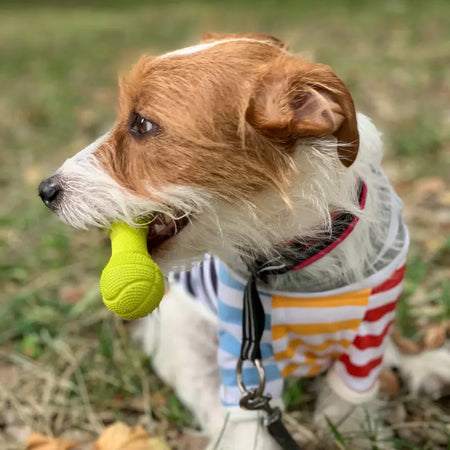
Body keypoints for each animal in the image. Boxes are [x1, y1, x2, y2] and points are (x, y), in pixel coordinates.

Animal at [39, 35, 450, 450]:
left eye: (142, 124)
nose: (46, 190)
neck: (296, 252)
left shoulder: (371, 323)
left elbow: (352, 396)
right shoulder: (244, 340)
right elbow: (245, 417)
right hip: (183, 338)